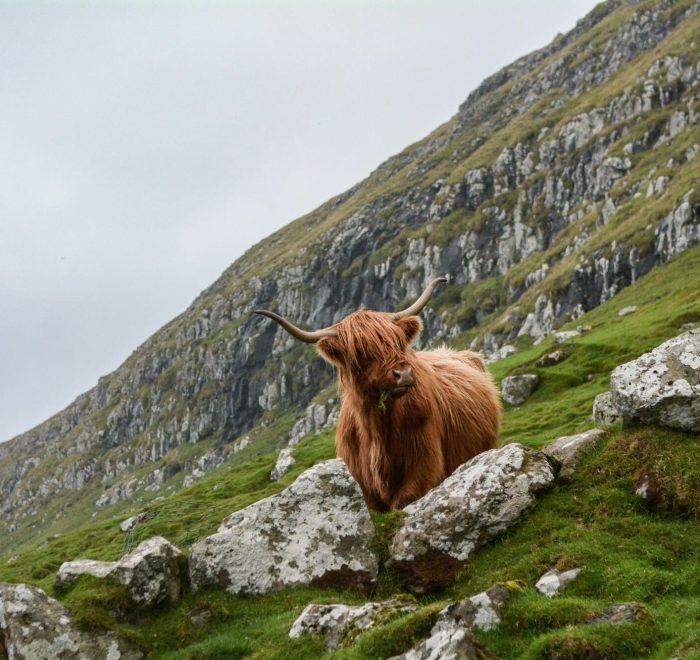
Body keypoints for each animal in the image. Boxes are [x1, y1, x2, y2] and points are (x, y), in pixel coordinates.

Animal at [254, 276, 500, 512]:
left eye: (398, 343)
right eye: (361, 353)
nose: (404, 374)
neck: (377, 432)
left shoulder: (423, 467)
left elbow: (404, 501)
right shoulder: (362, 485)